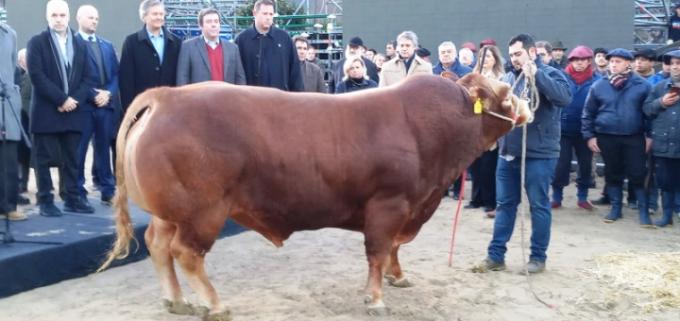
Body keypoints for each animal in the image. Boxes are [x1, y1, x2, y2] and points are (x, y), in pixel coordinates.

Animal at [99, 73, 532, 320]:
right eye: (503, 94)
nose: (528, 107)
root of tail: (168, 95)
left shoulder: (408, 207)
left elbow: (393, 249)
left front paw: (399, 278)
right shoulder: (389, 204)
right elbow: (378, 250)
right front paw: (375, 299)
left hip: (169, 212)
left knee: (158, 247)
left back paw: (176, 301)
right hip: (203, 212)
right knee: (186, 254)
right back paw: (215, 305)